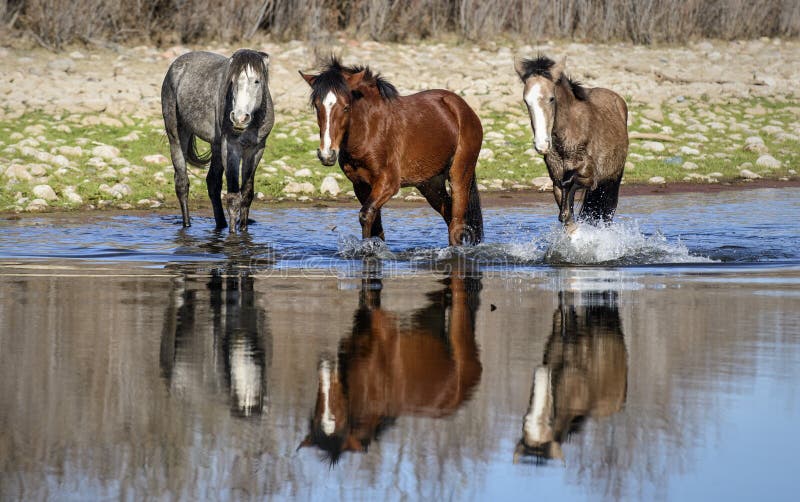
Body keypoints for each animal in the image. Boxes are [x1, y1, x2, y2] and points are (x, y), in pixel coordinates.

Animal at [162, 48, 276, 232]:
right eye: (233, 81)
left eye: (257, 81)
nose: (239, 118)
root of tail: (177, 64)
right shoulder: (231, 147)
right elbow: (233, 197)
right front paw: (232, 235)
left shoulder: (256, 149)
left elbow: (247, 194)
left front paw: (243, 230)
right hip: (177, 135)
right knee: (182, 183)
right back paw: (187, 225)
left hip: (216, 145)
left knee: (213, 183)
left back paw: (220, 224)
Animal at [298, 56, 482, 245]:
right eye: (317, 107)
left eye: (346, 107)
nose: (327, 154)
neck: (369, 130)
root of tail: (462, 108)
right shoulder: (360, 185)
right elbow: (376, 227)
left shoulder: (388, 182)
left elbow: (365, 215)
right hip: (430, 183)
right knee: (449, 216)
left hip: (459, 175)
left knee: (456, 222)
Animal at [516, 56, 628, 228]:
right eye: (526, 101)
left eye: (551, 98)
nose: (542, 145)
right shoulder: (556, 182)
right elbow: (569, 218)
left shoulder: (590, 177)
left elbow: (568, 181)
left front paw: (563, 213)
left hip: (612, 178)